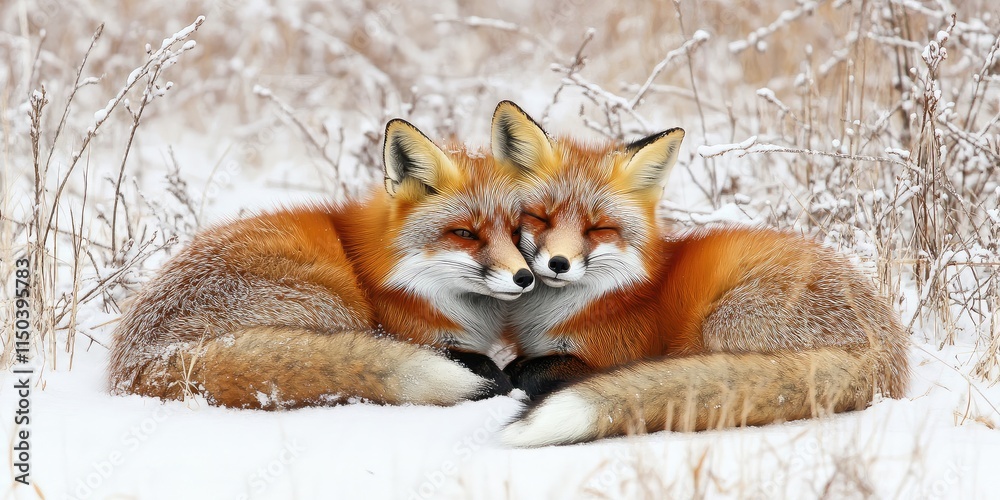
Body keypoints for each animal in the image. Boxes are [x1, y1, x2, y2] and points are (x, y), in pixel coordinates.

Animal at [107, 118, 535, 409]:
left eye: (517, 231)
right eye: (464, 233)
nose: (524, 277)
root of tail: (135, 365)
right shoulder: (419, 335)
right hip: (336, 304)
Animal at [489, 101, 910, 447]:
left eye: (598, 229)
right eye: (540, 218)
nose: (558, 263)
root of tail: (885, 350)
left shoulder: (609, 353)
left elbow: (529, 370)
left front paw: (513, 374)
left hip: (721, 323)